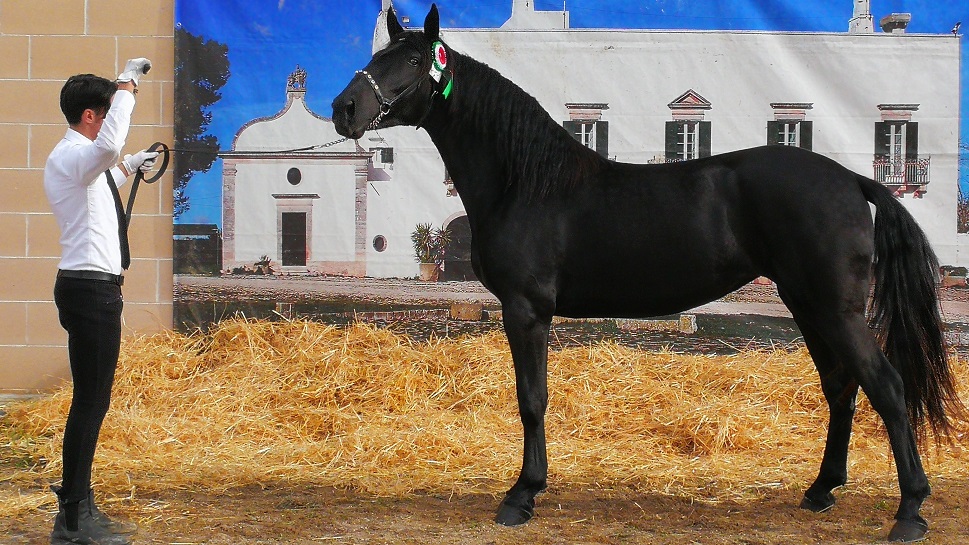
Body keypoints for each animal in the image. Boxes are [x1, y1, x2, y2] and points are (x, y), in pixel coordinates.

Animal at [331, 4, 965, 542]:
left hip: (835, 309)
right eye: (379, 55)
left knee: (886, 386)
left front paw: (521, 496)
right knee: (841, 388)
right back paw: (821, 491)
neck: (526, 182)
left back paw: (910, 511)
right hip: (808, 305)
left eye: (414, 61)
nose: (345, 109)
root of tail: (852, 179)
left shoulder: (526, 309)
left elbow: (531, 398)